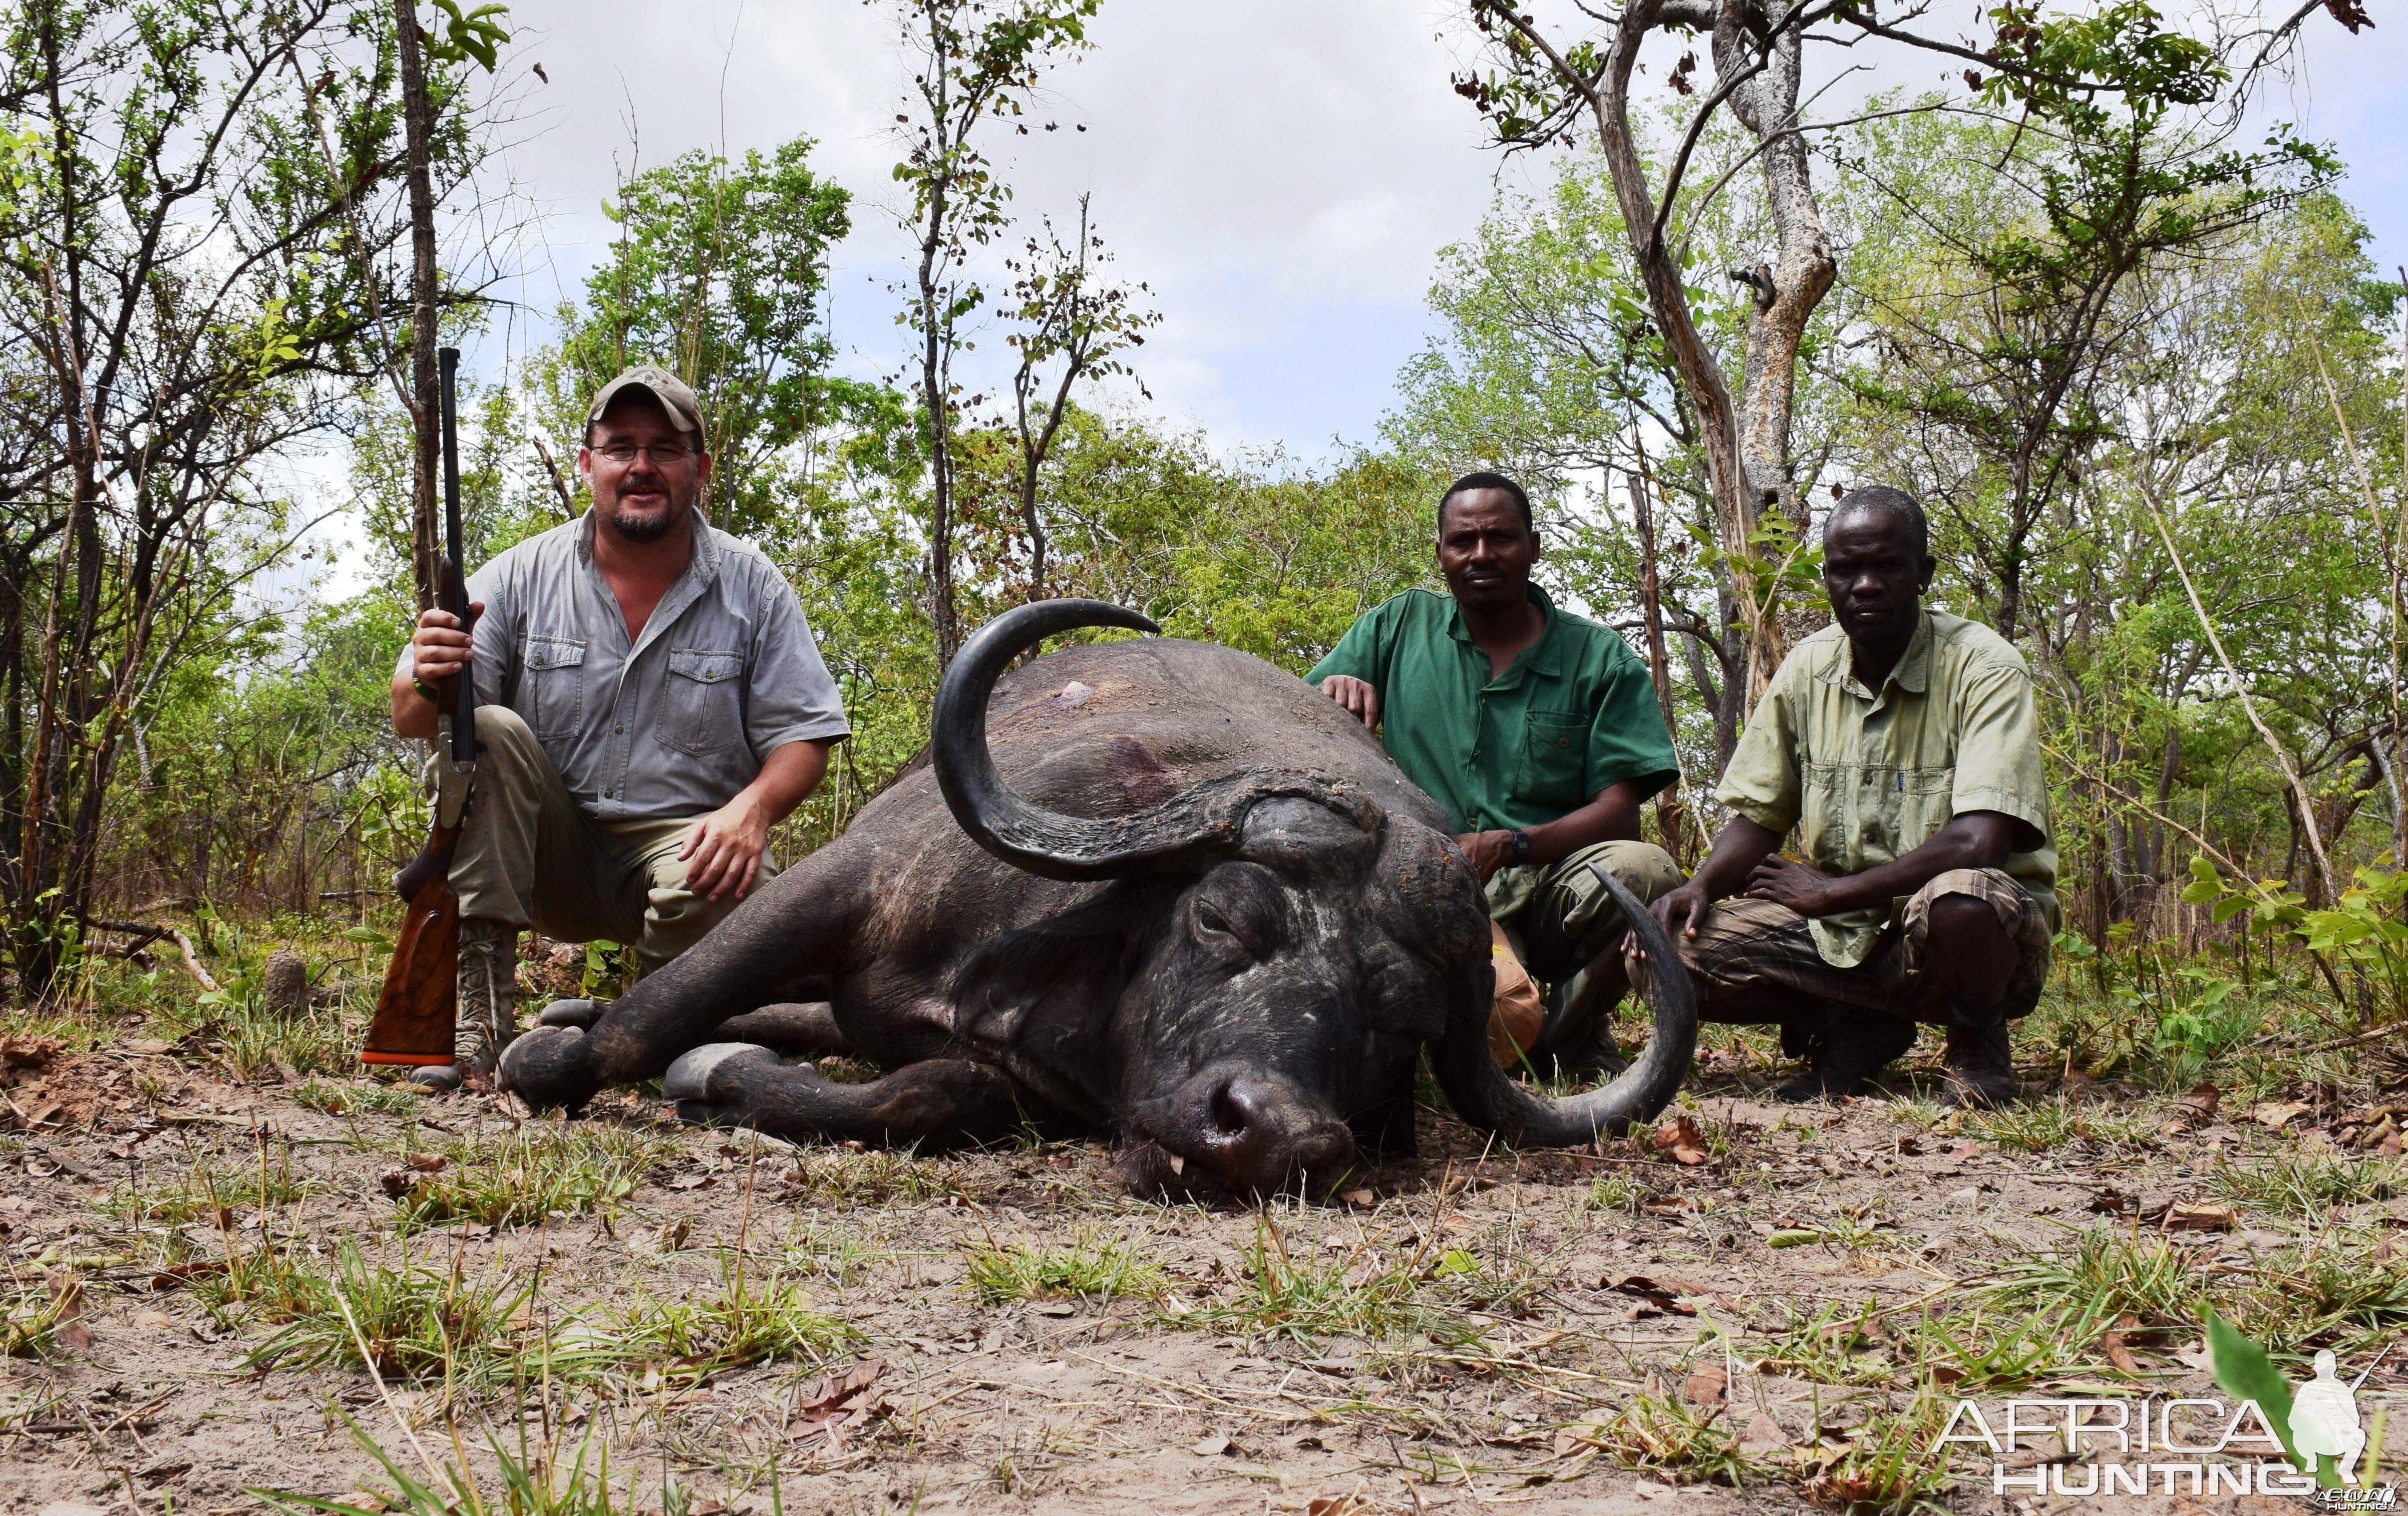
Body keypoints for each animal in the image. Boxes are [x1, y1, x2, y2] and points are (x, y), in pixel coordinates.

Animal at [498, 599, 1695, 1193]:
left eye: (1398, 1020)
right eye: (1222, 916)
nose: (1276, 1134)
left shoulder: (1005, 1079)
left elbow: (913, 1097)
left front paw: (721, 1070)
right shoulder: (837, 882)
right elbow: (649, 1016)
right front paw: (559, 1054)